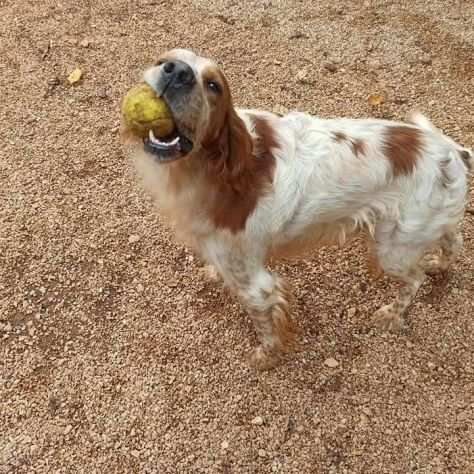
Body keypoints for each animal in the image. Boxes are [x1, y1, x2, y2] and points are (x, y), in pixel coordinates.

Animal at [121, 48, 470, 370]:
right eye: (162, 60)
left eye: (213, 85)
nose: (177, 72)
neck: (211, 171)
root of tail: (454, 151)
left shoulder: (256, 284)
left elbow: (266, 326)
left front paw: (265, 356)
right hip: (422, 227)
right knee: (454, 240)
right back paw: (440, 265)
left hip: (393, 250)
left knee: (414, 279)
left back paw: (392, 314)